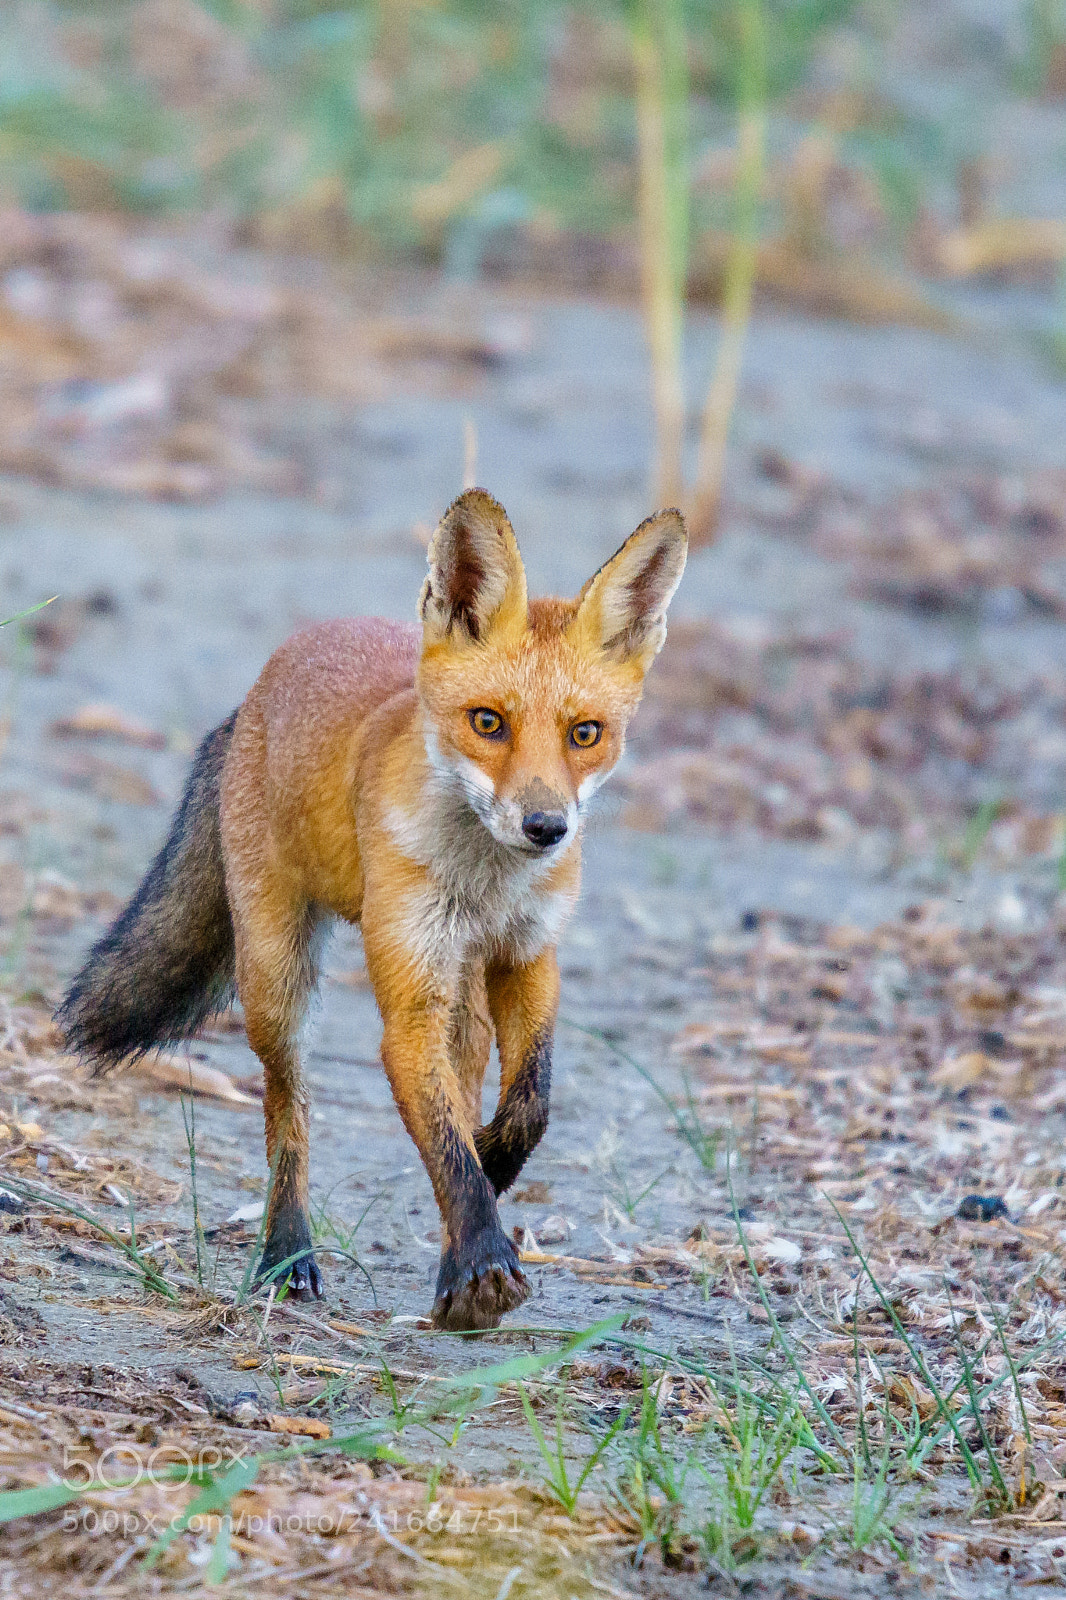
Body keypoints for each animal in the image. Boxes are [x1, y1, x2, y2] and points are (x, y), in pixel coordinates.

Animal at [57, 489, 687, 1331]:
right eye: (488, 722)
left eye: (585, 734)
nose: (546, 828)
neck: (484, 884)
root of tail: (258, 689)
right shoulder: (410, 1000)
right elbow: (448, 1146)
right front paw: (481, 1263)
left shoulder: (527, 956)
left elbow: (527, 1106)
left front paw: (487, 1186)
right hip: (277, 983)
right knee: (287, 1114)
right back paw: (287, 1255)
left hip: (459, 996)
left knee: (463, 1079)